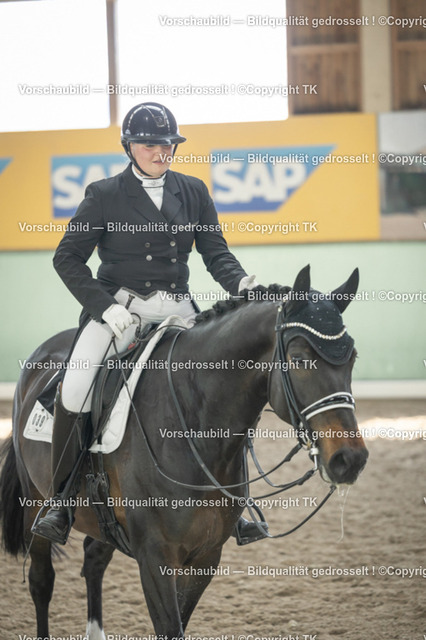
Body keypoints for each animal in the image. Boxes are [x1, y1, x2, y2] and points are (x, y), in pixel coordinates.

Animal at [0, 265, 368, 640]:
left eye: (352, 358)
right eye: (300, 358)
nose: (350, 459)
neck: (194, 427)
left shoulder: (205, 557)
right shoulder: (155, 559)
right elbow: (169, 627)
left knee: (94, 562)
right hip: (34, 501)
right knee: (41, 581)